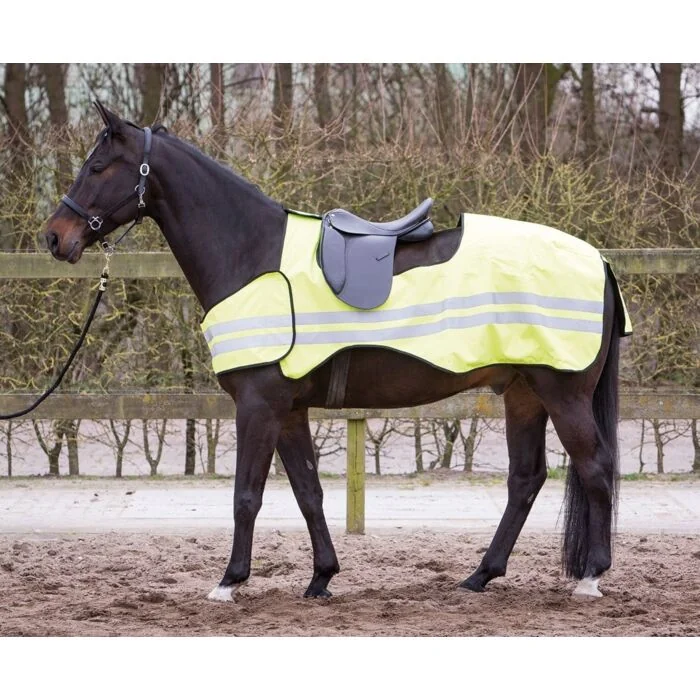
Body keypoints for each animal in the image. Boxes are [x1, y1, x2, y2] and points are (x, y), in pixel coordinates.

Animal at [42, 102, 624, 602]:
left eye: (97, 167)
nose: (54, 237)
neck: (250, 255)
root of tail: (598, 259)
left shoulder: (258, 405)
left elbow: (246, 495)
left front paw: (230, 581)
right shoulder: (288, 409)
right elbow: (307, 492)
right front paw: (322, 577)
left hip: (561, 392)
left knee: (595, 467)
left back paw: (591, 576)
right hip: (523, 392)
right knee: (525, 479)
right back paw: (481, 575)